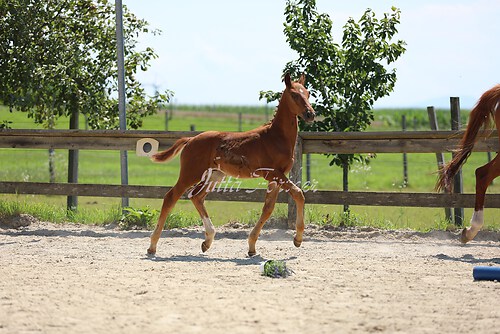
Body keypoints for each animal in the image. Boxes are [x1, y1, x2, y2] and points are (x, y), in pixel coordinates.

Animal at [146, 73, 314, 256]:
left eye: (308, 93)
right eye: (294, 95)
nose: (310, 114)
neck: (275, 137)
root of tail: (190, 139)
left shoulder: (275, 178)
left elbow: (268, 208)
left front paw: (252, 246)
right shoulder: (273, 174)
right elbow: (298, 194)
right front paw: (297, 239)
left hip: (214, 175)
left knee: (196, 196)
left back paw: (207, 241)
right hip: (190, 174)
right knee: (171, 196)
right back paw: (152, 246)